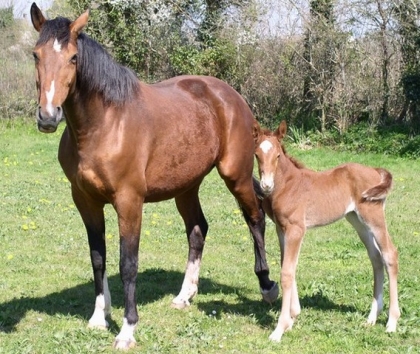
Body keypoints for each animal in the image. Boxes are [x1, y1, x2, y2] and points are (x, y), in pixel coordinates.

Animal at [30, 4, 278, 350]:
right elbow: (98, 257)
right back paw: (184, 296)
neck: (105, 125)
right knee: (198, 230)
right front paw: (98, 317)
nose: (48, 117)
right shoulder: (85, 201)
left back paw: (267, 286)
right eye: (36, 55)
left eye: (73, 58)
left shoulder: (129, 202)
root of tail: (231, 96)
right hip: (186, 187)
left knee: (255, 218)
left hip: (236, 175)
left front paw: (127, 329)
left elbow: (128, 264)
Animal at [253, 120, 400, 342]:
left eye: (278, 155)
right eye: (256, 155)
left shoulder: (296, 229)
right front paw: (293, 317)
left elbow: (286, 272)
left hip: (373, 216)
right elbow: (288, 265)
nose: (266, 186)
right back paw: (372, 317)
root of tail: (375, 170)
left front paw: (280, 328)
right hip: (356, 219)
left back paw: (392, 322)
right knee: (376, 257)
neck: (288, 185)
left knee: (390, 254)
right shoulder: (281, 229)